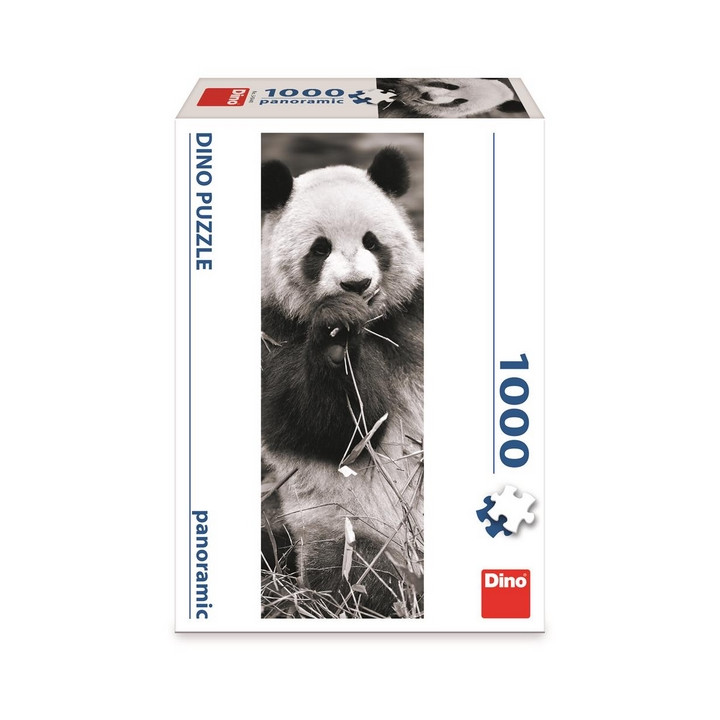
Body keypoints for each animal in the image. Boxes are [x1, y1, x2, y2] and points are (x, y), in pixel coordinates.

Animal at [260, 146, 424, 618]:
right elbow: (331, 429)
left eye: (372, 241)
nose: (356, 284)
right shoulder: (272, 332)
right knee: (362, 577)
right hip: (344, 526)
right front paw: (336, 339)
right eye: (320, 248)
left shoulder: (417, 312)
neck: (374, 322)